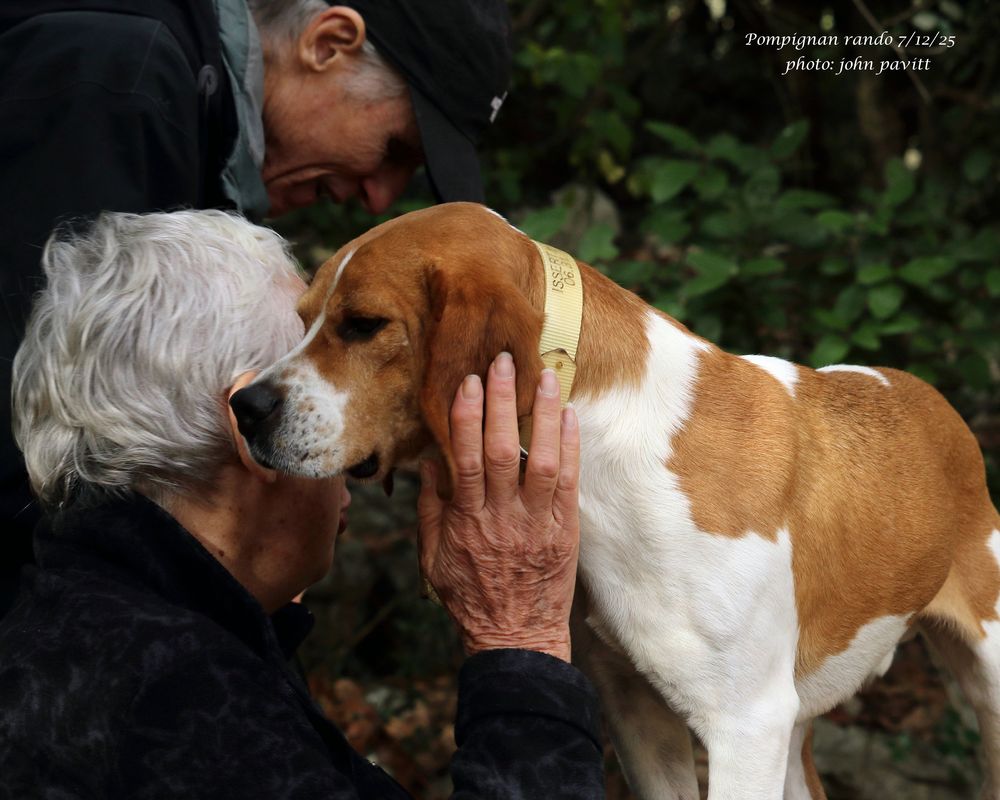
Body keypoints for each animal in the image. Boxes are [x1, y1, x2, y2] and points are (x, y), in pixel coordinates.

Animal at [231, 202, 1000, 799]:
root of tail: (936, 406)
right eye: (303, 318)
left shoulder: (745, 724)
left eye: (362, 324)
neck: (601, 443)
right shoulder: (640, 718)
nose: (245, 407)